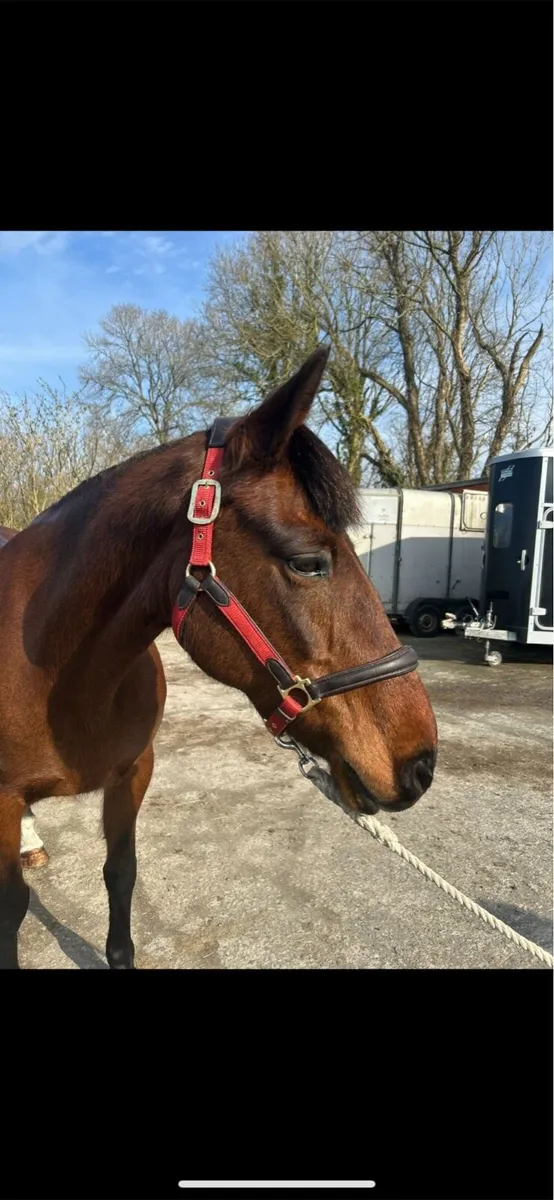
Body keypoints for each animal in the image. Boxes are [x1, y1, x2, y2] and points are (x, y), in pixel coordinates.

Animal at [0, 347, 437, 969]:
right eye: (307, 562)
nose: (421, 764)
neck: (59, 678)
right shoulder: (3, 802)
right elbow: (11, 906)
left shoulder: (132, 773)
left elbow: (121, 873)